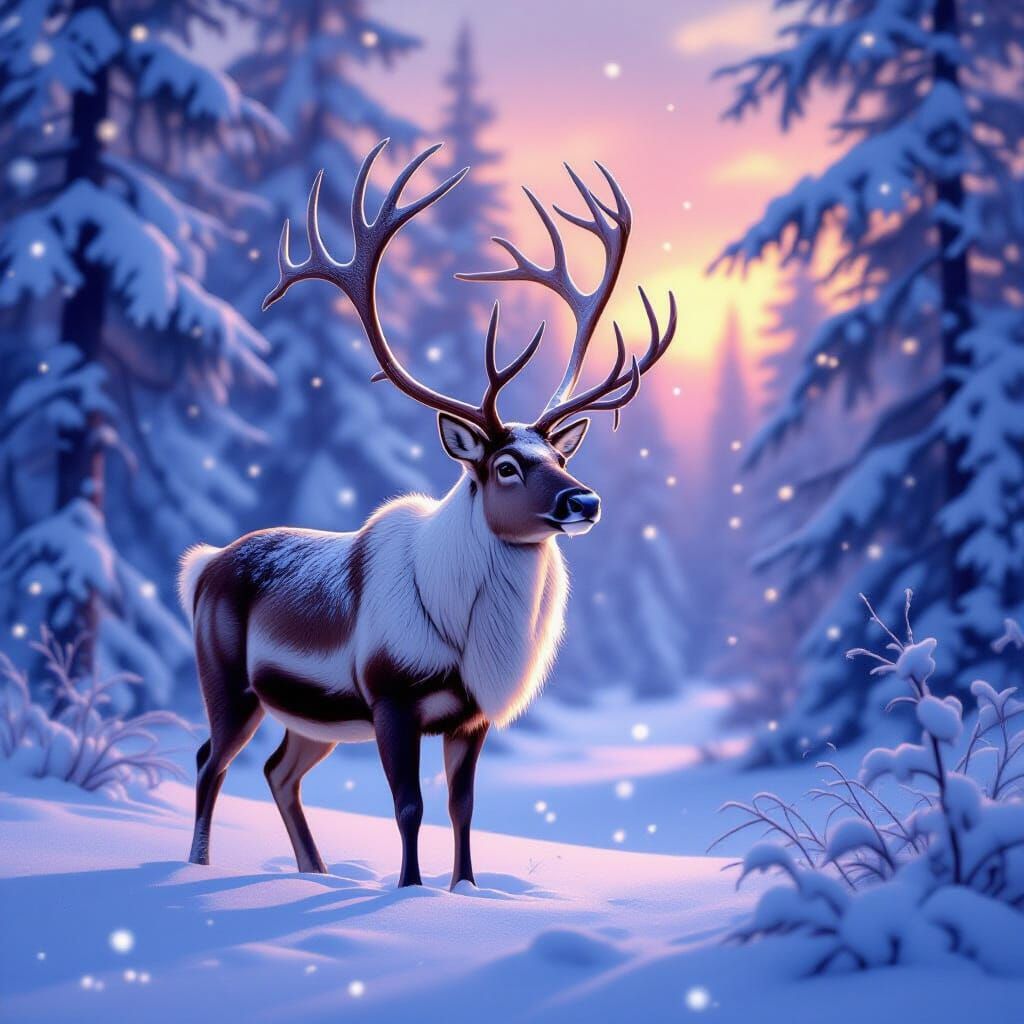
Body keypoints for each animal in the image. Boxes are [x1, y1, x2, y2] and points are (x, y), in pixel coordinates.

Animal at [178, 139, 676, 888]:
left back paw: (315, 872)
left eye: (555, 455)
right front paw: (409, 890)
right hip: (230, 680)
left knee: (277, 771)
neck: (467, 639)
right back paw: (199, 867)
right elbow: (408, 807)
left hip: (313, 716)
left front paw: (464, 888)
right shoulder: (391, 698)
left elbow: (462, 809)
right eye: (506, 466)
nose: (585, 500)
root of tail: (203, 566)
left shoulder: (470, 719)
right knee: (211, 760)